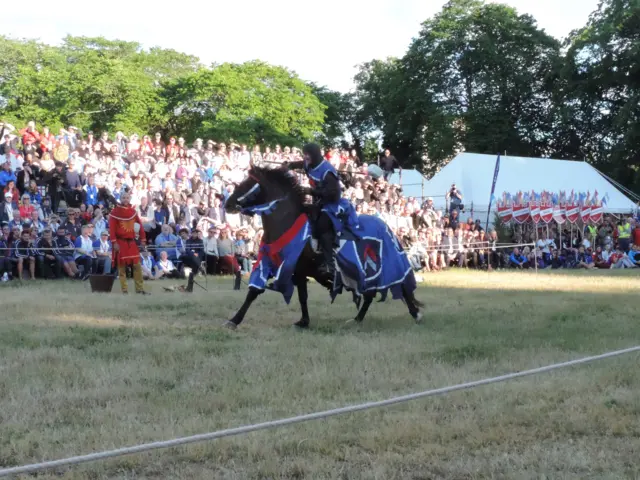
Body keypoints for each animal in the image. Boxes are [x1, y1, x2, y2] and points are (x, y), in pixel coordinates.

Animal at [222, 166, 422, 330]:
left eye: (247, 184)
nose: (227, 204)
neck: (287, 222)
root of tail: (386, 226)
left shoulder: (295, 268)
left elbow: (272, 292)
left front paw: (234, 320)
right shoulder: (285, 267)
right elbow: (262, 292)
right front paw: (303, 321)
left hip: (384, 266)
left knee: (400, 287)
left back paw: (415, 314)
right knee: (370, 295)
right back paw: (357, 319)